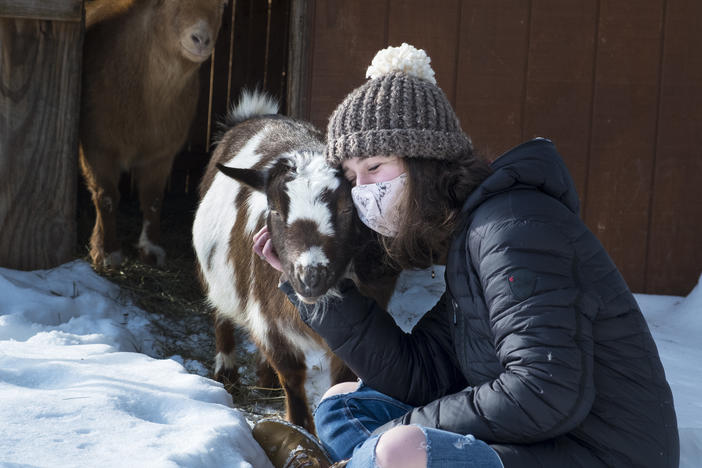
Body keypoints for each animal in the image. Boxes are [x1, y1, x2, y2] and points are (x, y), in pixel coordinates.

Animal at [81, 0, 227, 266]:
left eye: (222, 5)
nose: (201, 39)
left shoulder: (161, 153)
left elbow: (153, 199)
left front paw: (151, 249)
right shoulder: (96, 146)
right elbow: (106, 196)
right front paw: (107, 251)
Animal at [195, 90, 398, 432]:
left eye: (348, 209)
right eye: (275, 210)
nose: (310, 277)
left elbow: (343, 376)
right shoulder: (267, 320)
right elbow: (291, 376)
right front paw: (301, 429)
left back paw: (264, 381)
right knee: (220, 313)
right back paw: (227, 373)